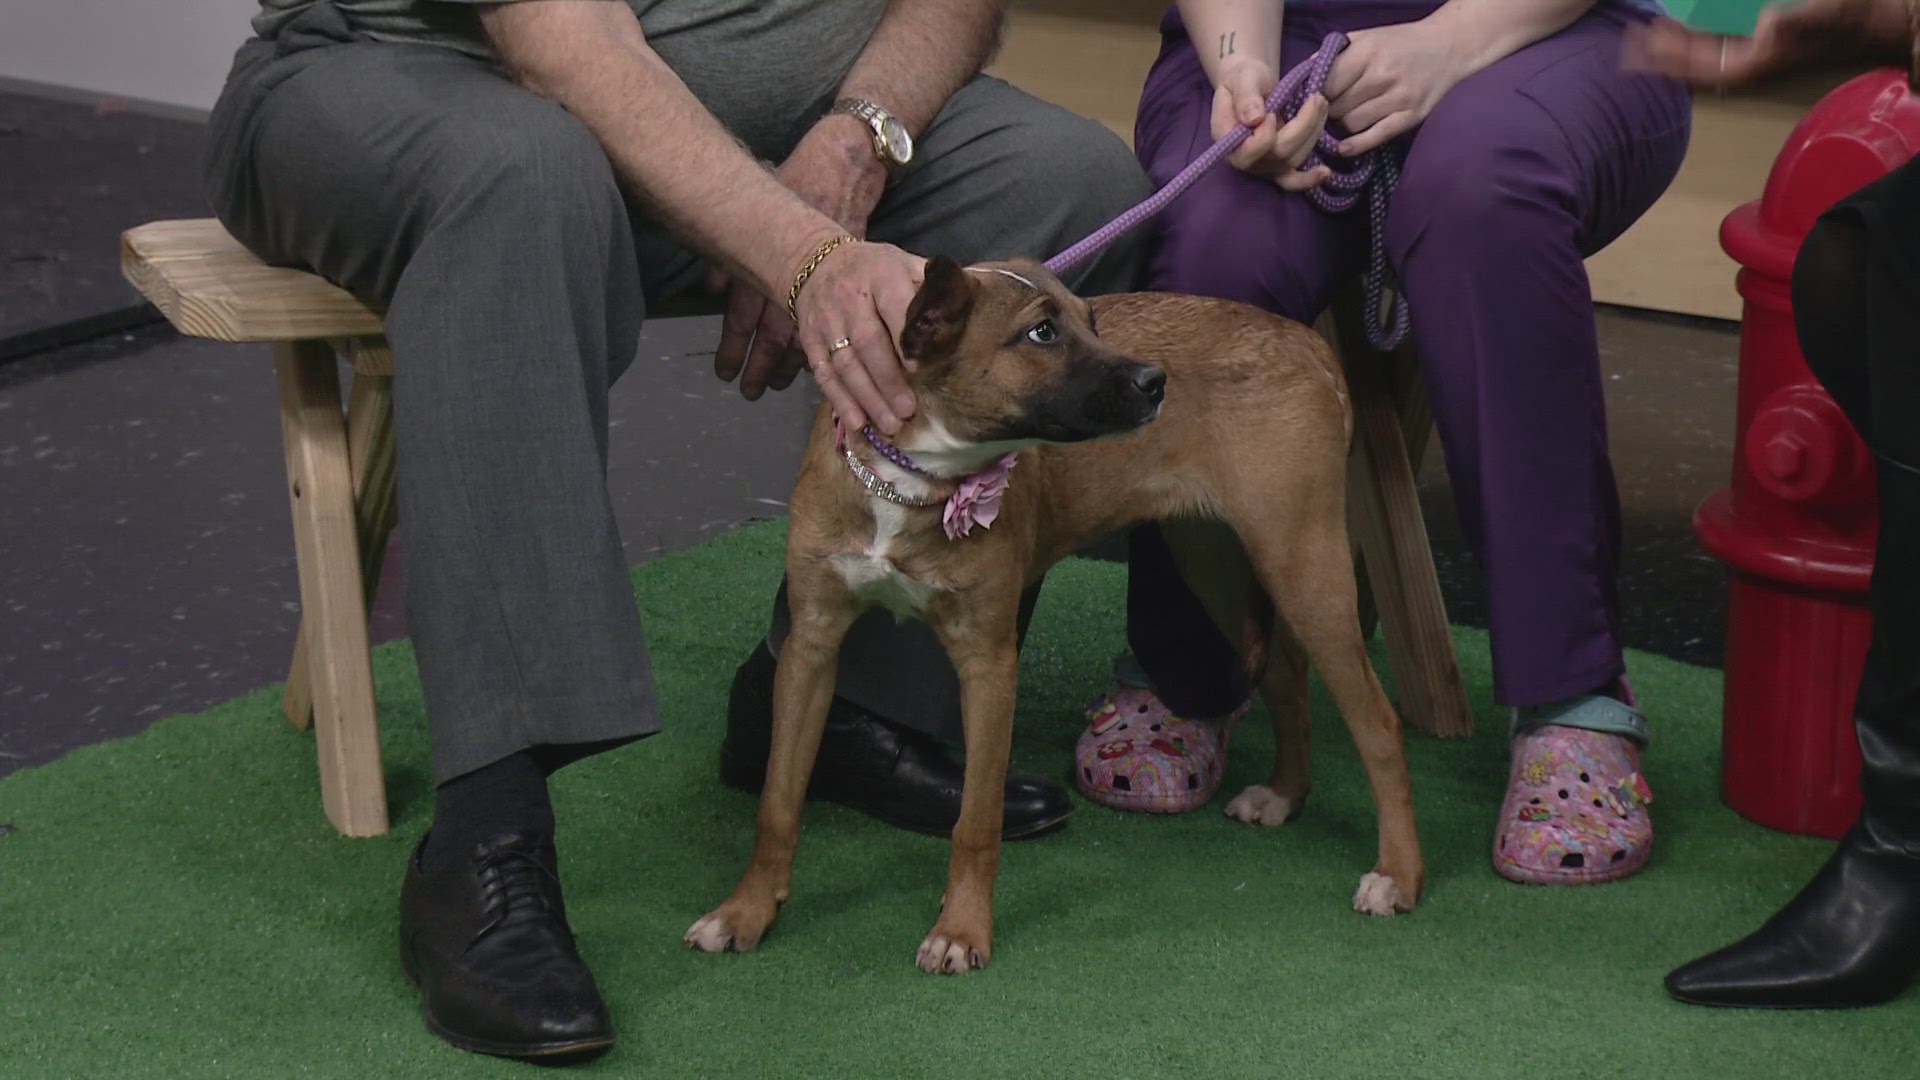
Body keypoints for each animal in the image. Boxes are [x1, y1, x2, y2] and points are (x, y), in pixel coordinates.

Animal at [691, 255, 1428, 972]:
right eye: (1042, 332)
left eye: (1091, 320)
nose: (1156, 381)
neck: (909, 478)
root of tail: (1310, 343)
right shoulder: (811, 647)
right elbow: (778, 802)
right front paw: (746, 911)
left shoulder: (989, 666)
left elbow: (976, 820)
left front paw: (961, 930)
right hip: (1219, 562)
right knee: (1284, 675)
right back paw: (1285, 794)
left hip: (1305, 570)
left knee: (1378, 724)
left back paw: (1398, 873)